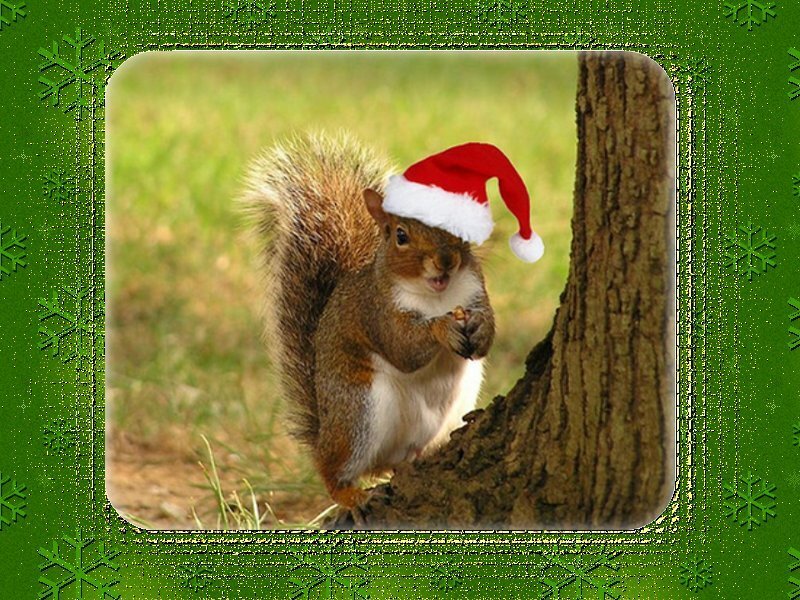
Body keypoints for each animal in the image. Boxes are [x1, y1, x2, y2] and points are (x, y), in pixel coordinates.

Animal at [244, 133, 542, 509]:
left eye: (456, 229)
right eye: (401, 236)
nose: (445, 260)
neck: (437, 295)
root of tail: (324, 431)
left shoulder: (475, 291)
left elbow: (484, 335)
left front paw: (479, 327)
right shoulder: (378, 312)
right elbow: (404, 349)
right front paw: (442, 328)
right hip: (359, 413)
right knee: (333, 468)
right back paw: (350, 494)